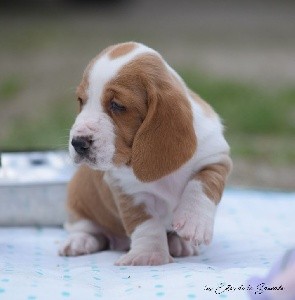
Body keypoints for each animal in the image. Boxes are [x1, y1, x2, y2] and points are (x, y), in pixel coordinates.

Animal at [58, 41, 234, 264]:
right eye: (81, 101)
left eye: (117, 105)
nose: (77, 142)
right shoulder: (131, 193)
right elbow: (146, 225)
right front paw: (148, 255)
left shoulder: (215, 158)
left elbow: (201, 186)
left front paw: (194, 223)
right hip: (78, 202)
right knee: (89, 230)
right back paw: (79, 241)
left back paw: (178, 243)